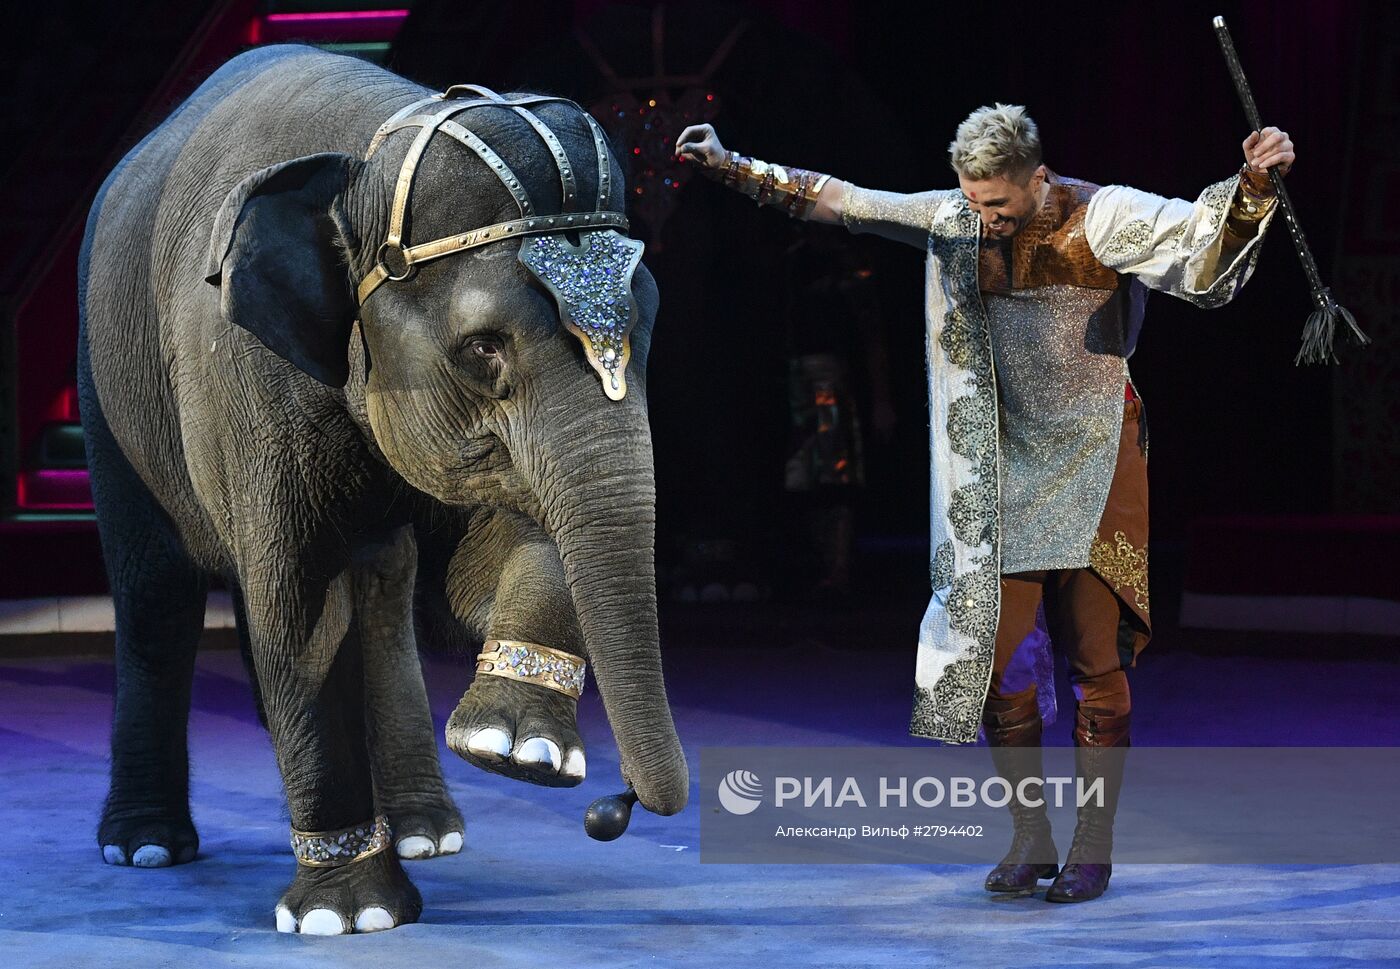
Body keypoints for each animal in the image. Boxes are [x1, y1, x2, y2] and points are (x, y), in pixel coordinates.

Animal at [76, 41, 688, 935]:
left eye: (645, 323)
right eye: (483, 347)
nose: (612, 810)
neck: (367, 158)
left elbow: (497, 551)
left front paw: (518, 750)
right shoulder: (249, 381)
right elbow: (301, 612)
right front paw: (347, 915)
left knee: (386, 592)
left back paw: (429, 832)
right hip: (108, 390)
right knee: (156, 588)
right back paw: (146, 846)